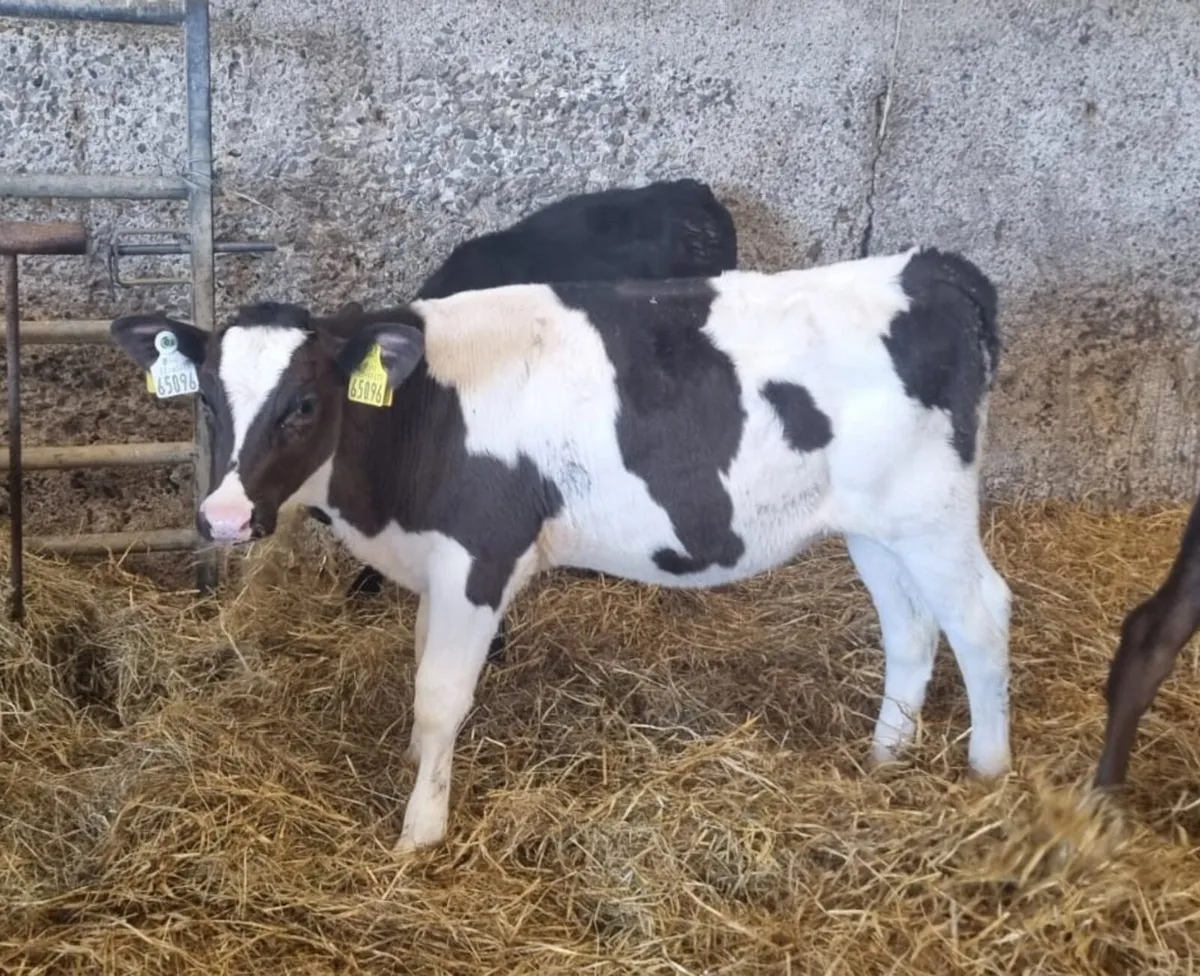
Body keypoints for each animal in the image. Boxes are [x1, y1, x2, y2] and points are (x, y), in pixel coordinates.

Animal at [110, 245, 1012, 852]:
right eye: (208, 402)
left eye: (302, 403)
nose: (225, 517)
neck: (419, 418)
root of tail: (922, 267)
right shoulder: (437, 565)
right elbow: (422, 673)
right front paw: (419, 768)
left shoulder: (482, 552)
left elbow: (442, 694)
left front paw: (420, 831)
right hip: (875, 523)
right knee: (910, 628)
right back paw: (885, 758)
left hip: (931, 510)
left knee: (980, 615)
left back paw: (989, 772)